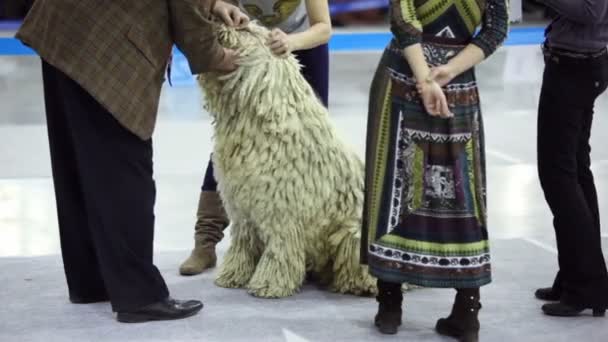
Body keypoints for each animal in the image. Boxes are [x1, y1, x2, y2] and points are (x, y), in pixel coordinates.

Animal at [197, 22, 378, 298]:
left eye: (246, 31)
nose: (221, 23)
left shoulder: (282, 210)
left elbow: (279, 249)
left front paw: (268, 283)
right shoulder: (241, 208)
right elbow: (242, 244)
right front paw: (232, 274)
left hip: (353, 234)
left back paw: (361, 284)